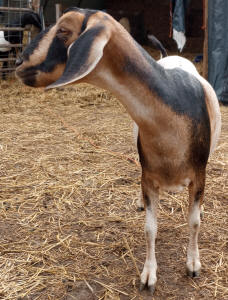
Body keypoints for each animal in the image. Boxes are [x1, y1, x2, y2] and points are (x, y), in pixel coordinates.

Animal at [15, 7, 221, 296]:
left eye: (64, 30)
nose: (19, 63)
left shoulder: (199, 174)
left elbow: (193, 222)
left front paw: (193, 264)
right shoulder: (148, 177)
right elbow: (150, 228)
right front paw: (148, 275)